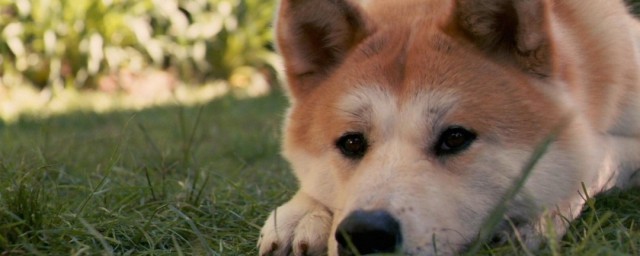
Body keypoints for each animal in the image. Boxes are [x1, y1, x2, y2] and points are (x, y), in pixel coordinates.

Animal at [256, 0, 640, 254]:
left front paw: (540, 216)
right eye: (351, 143)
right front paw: (302, 213)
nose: (365, 232)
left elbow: (597, 157)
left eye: (455, 138)